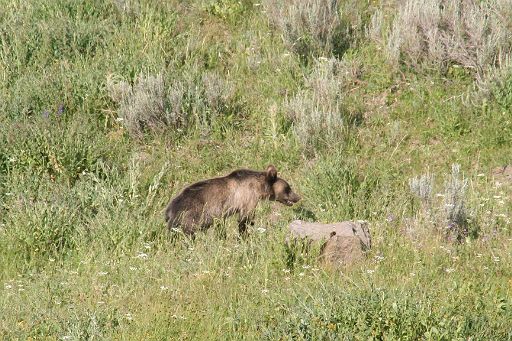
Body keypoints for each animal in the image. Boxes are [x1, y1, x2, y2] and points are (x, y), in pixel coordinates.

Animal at [164, 164, 300, 234]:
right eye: (288, 188)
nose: (297, 197)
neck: (259, 187)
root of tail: (169, 209)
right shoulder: (248, 197)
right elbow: (244, 219)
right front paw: (244, 234)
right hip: (192, 214)